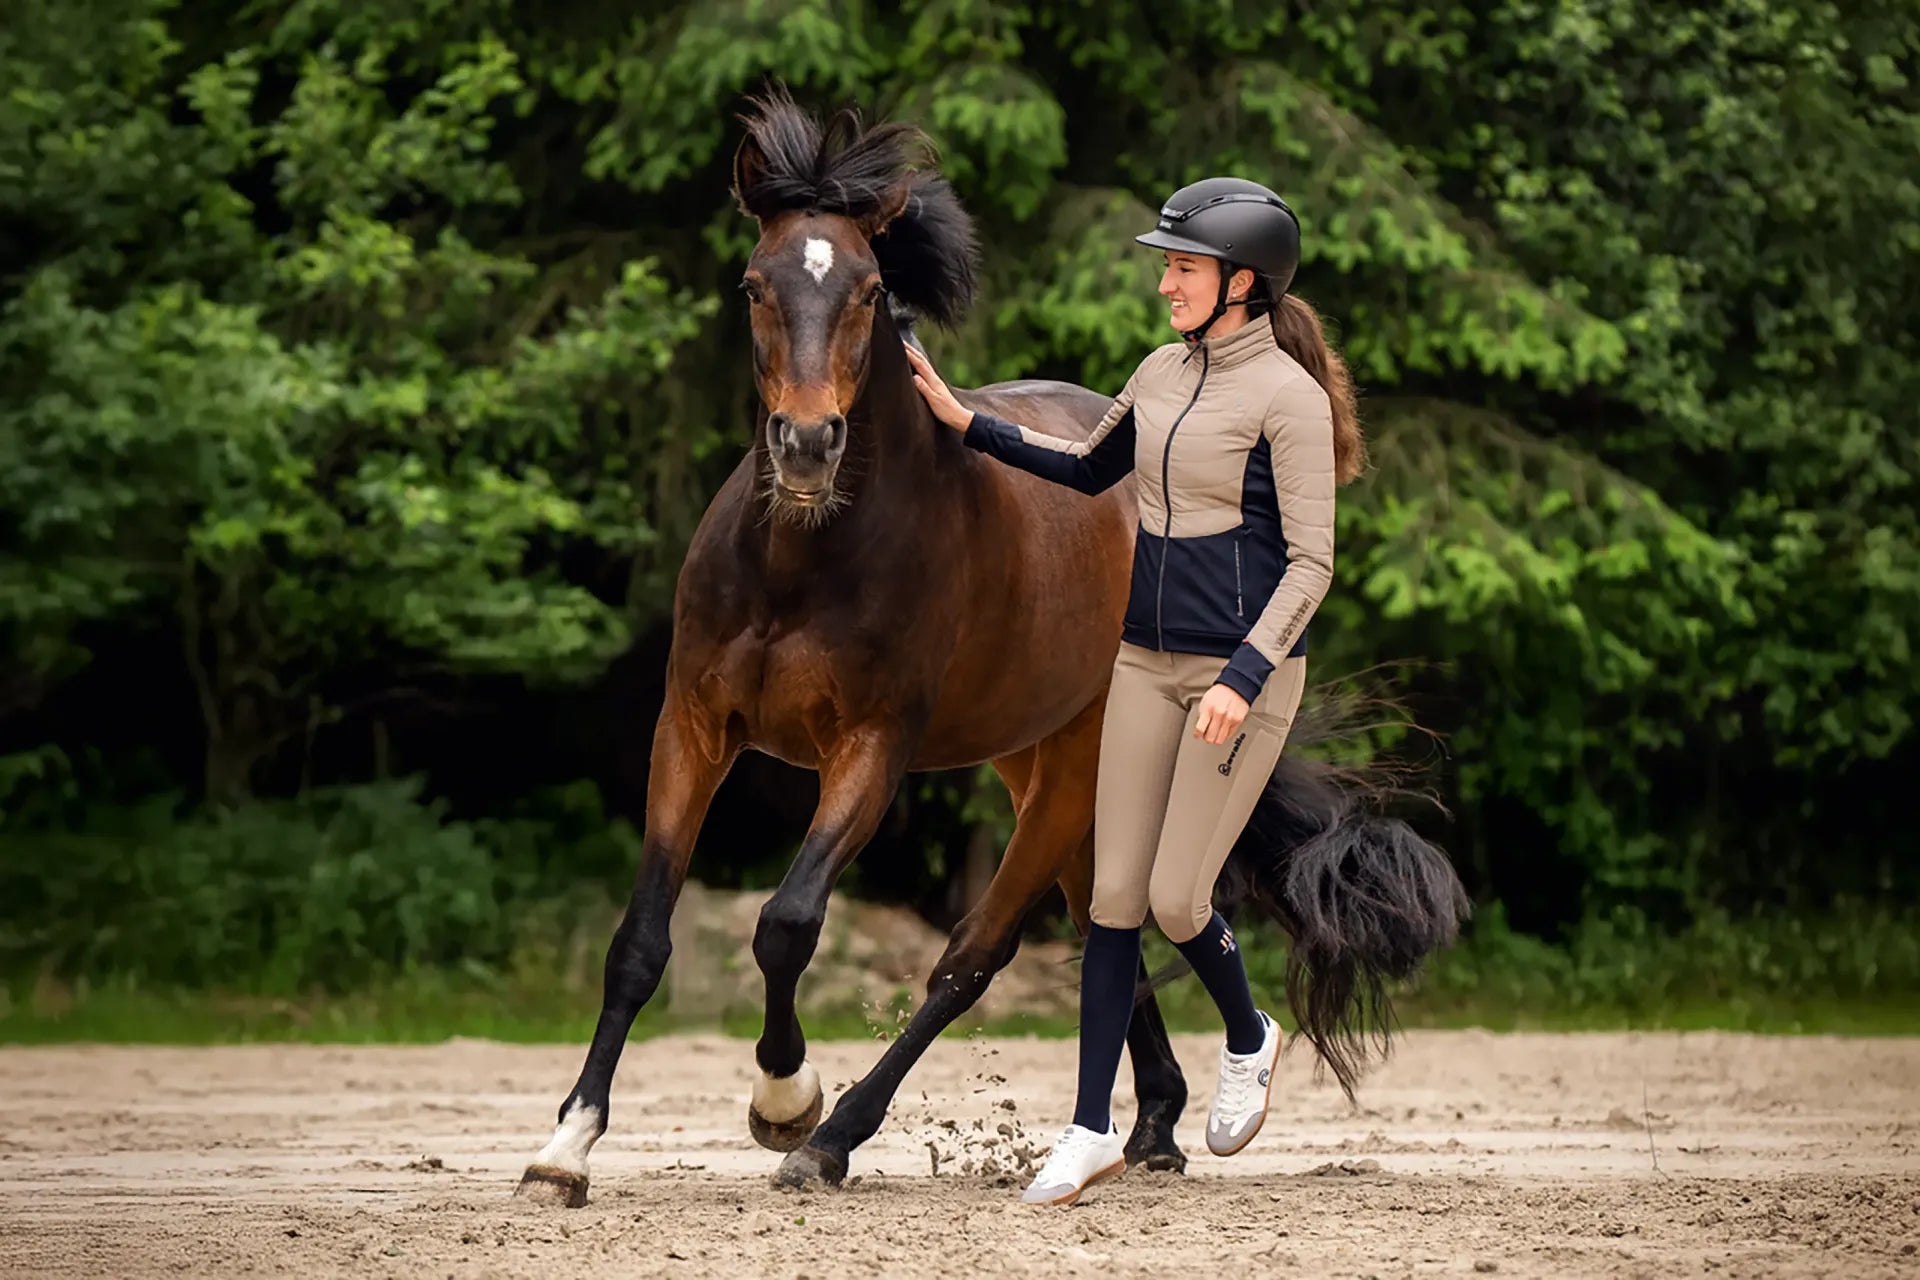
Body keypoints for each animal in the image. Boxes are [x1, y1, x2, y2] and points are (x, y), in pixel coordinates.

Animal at [515, 85, 1469, 1204]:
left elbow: (787, 922)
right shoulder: (695, 728)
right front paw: (566, 1145)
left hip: (1074, 769)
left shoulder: (872, 749)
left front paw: (783, 1097)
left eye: (869, 290)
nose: (807, 445)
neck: (801, 555)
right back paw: (1153, 1125)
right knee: (1111, 920)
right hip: (1043, 768)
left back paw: (836, 1138)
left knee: (982, 952)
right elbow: (639, 939)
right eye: (754, 285)